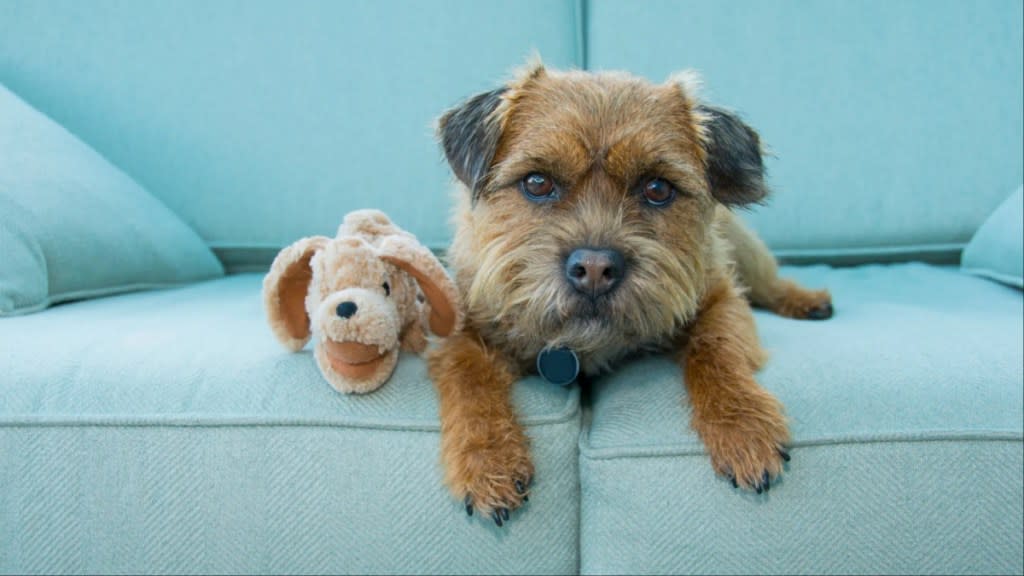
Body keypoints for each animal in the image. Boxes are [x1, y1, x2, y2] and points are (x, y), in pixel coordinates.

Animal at [423, 59, 831, 524]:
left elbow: (715, 348)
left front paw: (742, 424)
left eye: (657, 189)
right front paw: (488, 460)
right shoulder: (458, 332)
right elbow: (469, 378)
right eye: (537, 182)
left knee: (770, 283)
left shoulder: (721, 298)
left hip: (746, 250)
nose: (595, 269)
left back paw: (806, 300)